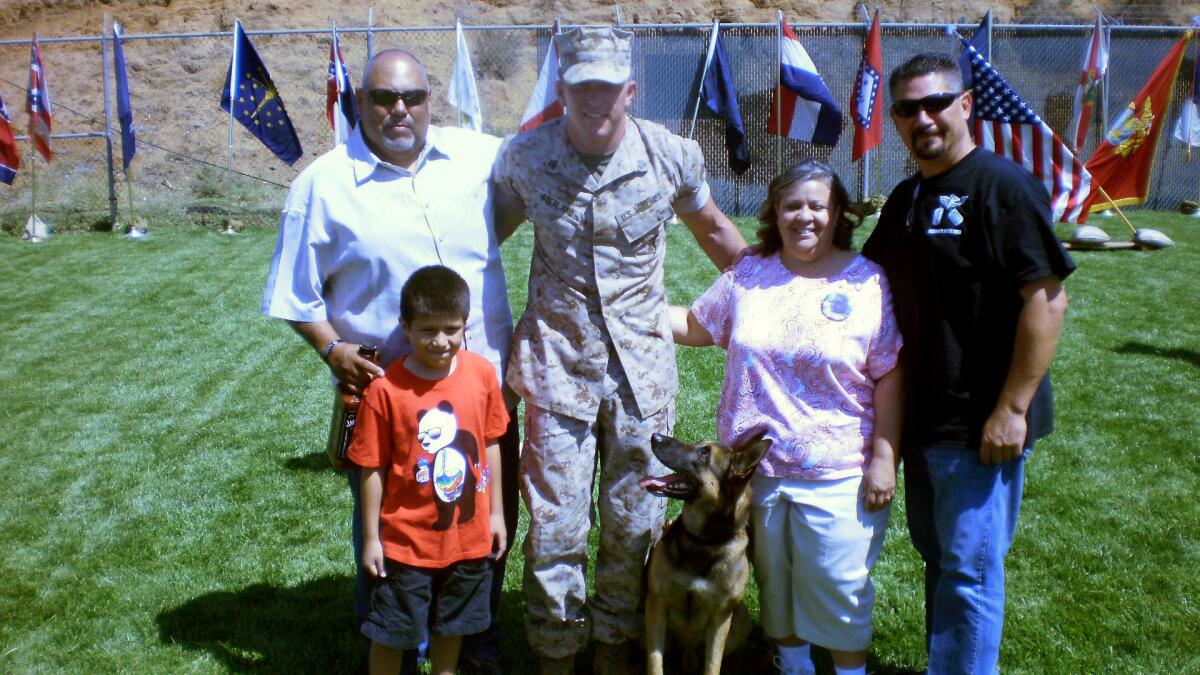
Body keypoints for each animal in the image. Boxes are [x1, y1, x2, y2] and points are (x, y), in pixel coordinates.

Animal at [643, 427, 772, 667]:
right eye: (699, 445)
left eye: (705, 453)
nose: (655, 437)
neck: (702, 541)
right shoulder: (657, 604)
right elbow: (655, 663)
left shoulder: (720, 619)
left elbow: (713, 665)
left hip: (741, 618)